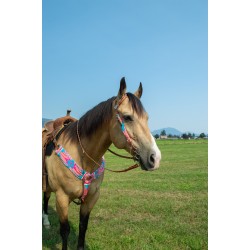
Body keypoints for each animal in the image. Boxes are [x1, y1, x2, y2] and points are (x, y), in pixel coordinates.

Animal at [42, 77, 161, 249]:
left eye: (147, 118)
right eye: (127, 117)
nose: (155, 158)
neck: (83, 156)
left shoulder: (91, 198)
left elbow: (83, 227)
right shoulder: (62, 198)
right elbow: (65, 231)